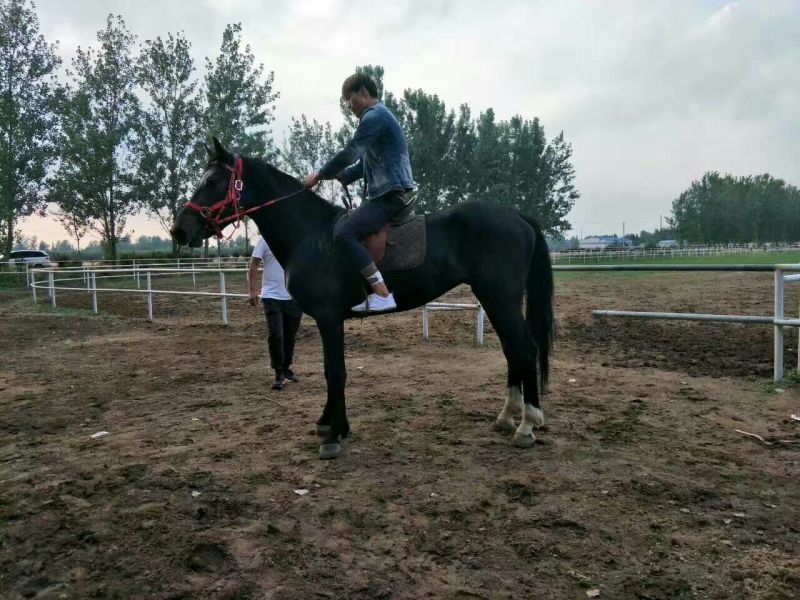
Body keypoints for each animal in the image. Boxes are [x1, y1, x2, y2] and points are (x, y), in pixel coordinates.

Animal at [171, 138, 554, 460]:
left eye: (213, 181)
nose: (179, 230)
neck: (312, 234)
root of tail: (517, 215)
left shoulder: (329, 318)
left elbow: (335, 372)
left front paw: (335, 434)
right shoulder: (327, 320)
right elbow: (331, 370)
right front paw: (328, 423)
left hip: (500, 299)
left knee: (525, 349)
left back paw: (527, 425)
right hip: (494, 300)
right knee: (513, 351)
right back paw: (507, 417)